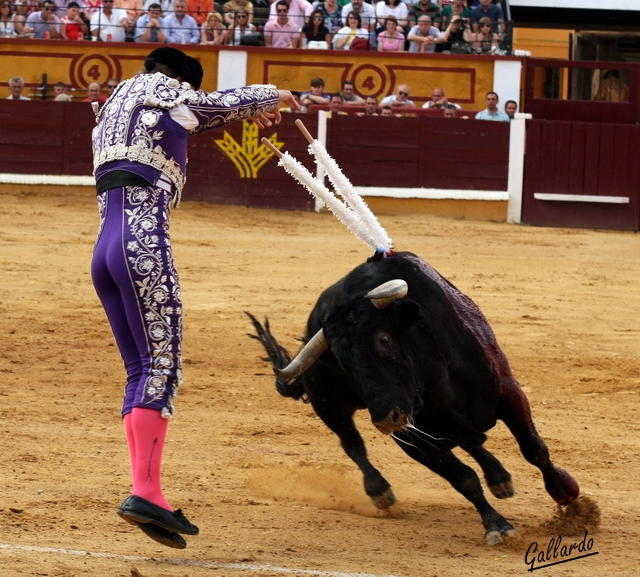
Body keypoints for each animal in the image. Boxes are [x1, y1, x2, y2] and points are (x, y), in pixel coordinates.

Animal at [246, 250, 580, 544]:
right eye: (341, 362)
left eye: (383, 339)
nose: (385, 418)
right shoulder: (410, 436)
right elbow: (463, 477)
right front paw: (497, 526)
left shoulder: (509, 393)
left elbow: (534, 450)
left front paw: (567, 495)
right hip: (327, 403)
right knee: (352, 443)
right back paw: (380, 491)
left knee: (472, 441)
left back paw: (499, 477)